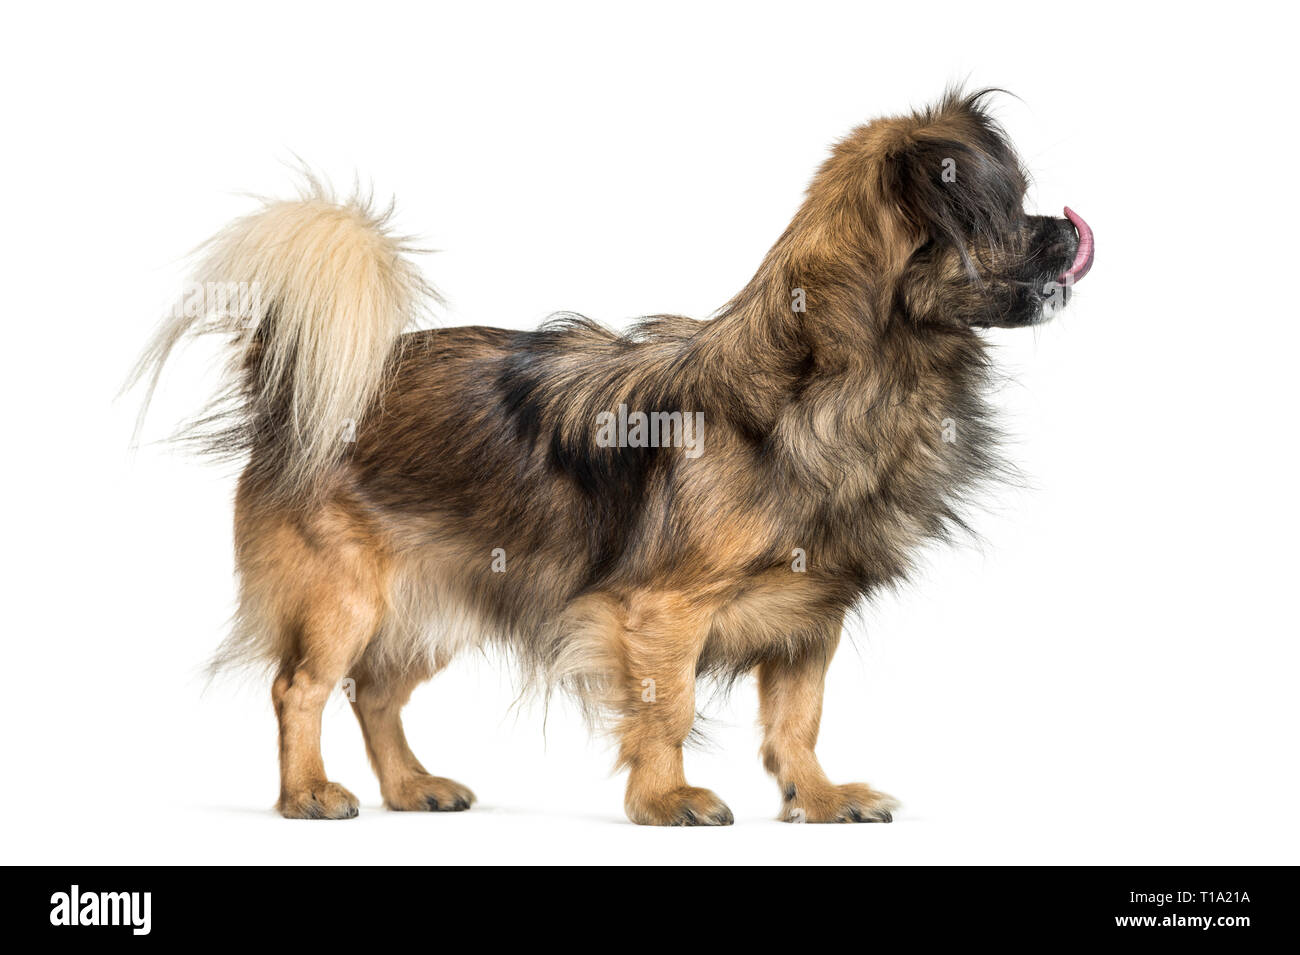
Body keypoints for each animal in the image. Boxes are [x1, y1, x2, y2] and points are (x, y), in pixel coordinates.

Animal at [131, 85, 1092, 826]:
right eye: (1006, 214)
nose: (1066, 230)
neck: (831, 380)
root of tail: (293, 387)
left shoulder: (808, 618)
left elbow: (798, 721)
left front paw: (818, 799)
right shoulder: (663, 609)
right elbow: (668, 708)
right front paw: (667, 801)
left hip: (441, 598)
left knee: (374, 694)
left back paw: (410, 787)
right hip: (347, 599)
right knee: (300, 688)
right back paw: (308, 792)